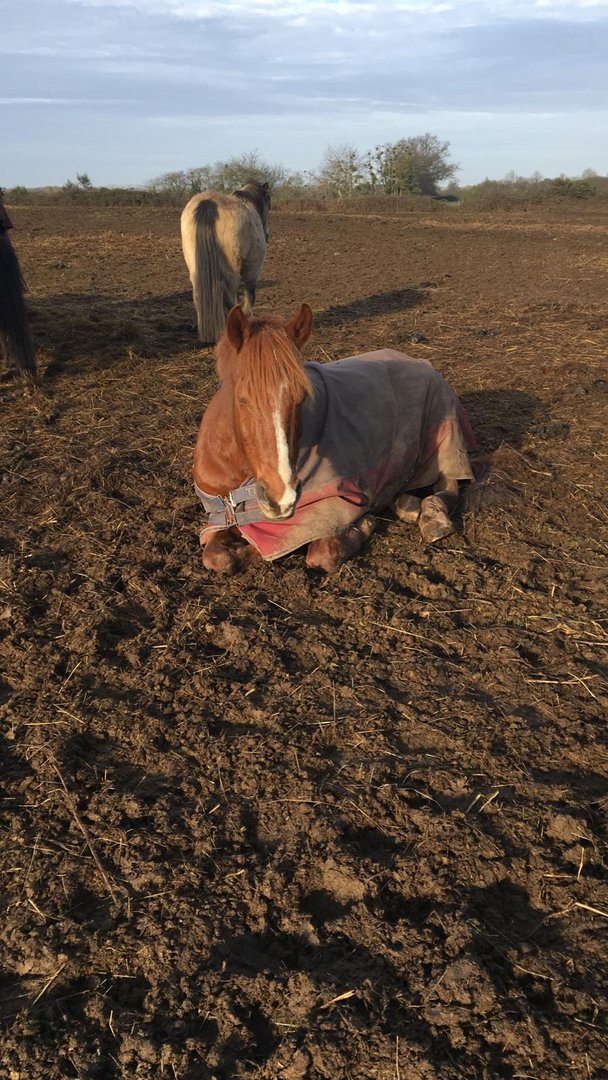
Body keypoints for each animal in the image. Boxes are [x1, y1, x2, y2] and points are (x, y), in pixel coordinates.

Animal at [180, 179, 271, 343]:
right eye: (269, 203)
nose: (267, 234)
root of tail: (208, 202)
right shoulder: (253, 269)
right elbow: (250, 295)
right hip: (233, 269)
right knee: (230, 297)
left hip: (196, 267)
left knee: (199, 295)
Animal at [194, 304, 481, 574]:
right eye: (242, 398)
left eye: (301, 397)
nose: (281, 496)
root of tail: (423, 363)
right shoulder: (219, 519)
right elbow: (217, 557)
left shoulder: (326, 510)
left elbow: (318, 554)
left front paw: (364, 524)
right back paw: (405, 504)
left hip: (447, 443)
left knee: (448, 487)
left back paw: (432, 518)